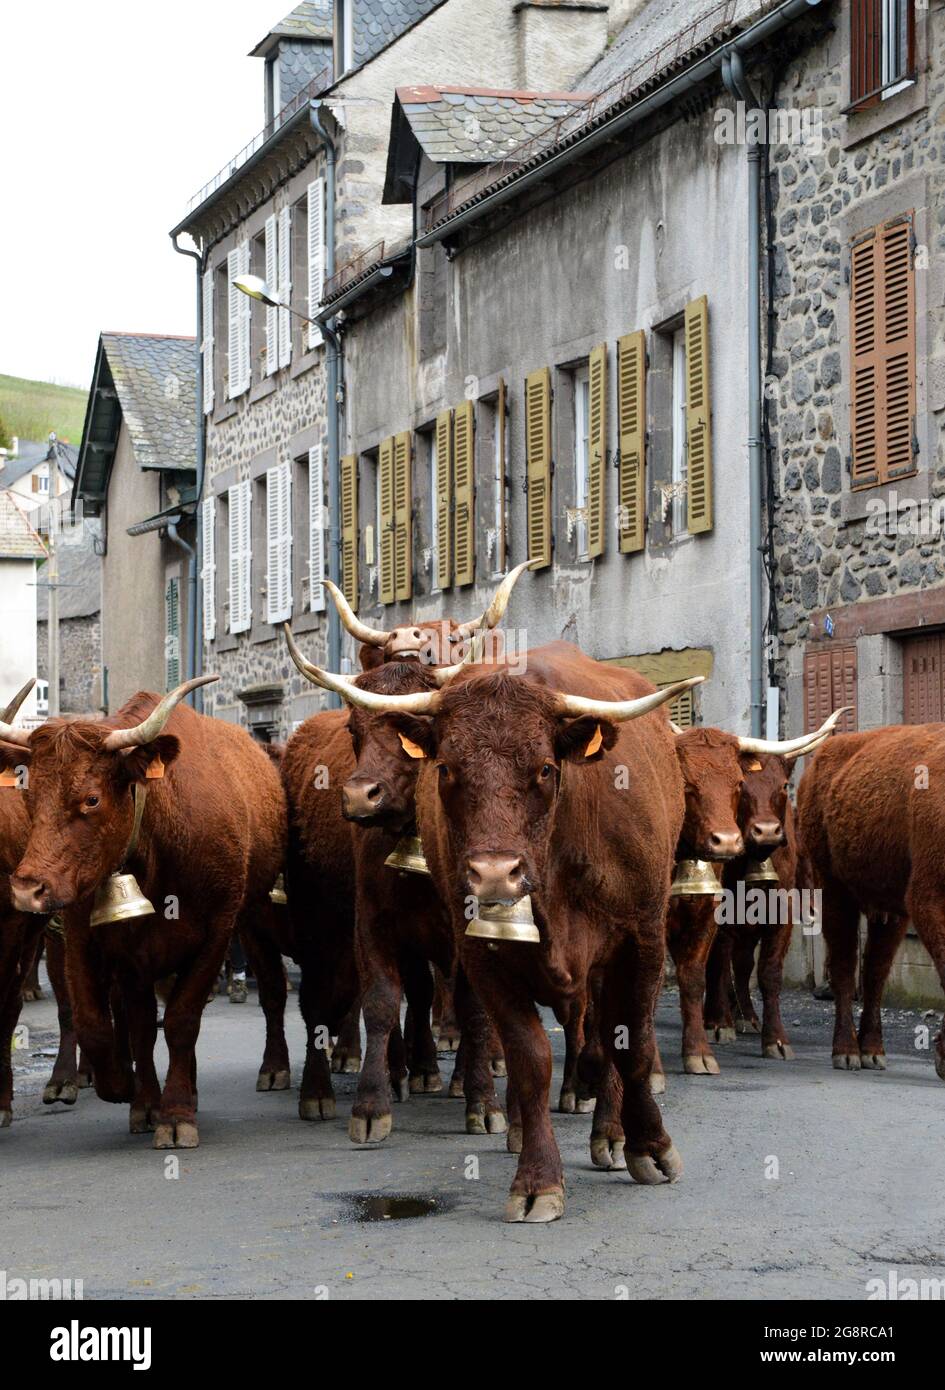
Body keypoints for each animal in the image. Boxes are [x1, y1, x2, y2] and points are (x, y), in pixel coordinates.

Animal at [1, 675, 286, 1150]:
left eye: (91, 799)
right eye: (31, 796)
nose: (28, 888)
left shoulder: (217, 933)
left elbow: (182, 1020)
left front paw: (177, 1114)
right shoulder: (87, 939)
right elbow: (104, 1024)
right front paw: (128, 1090)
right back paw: (145, 1101)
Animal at [305, 644, 697, 1223]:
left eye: (546, 768)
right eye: (445, 767)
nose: (494, 873)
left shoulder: (642, 939)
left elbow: (632, 1044)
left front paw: (650, 1146)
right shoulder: (480, 952)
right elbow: (527, 1057)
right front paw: (536, 1180)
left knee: (606, 1037)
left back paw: (608, 1132)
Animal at [800, 722, 945, 1078]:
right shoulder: (927, 899)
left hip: (891, 911)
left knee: (875, 972)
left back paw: (873, 1050)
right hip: (833, 891)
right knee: (845, 966)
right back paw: (847, 1051)